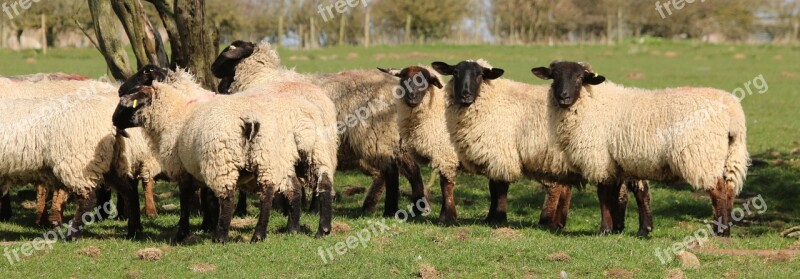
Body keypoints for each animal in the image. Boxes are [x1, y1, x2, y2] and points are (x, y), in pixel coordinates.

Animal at [114, 66, 336, 243]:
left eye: (143, 74)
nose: (114, 120)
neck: (178, 113)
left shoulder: (189, 168)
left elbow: (190, 201)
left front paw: (191, 230)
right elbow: (208, 197)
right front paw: (208, 224)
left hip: (234, 160)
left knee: (234, 196)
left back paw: (223, 236)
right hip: (296, 154)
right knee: (306, 186)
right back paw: (304, 229)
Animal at [209, 41, 428, 217]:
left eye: (227, 53)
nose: (212, 68)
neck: (259, 77)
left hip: (376, 135)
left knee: (390, 171)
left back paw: (388, 209)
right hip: (393, 137)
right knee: (410, 169)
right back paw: (414, 206)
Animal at [434, 60, 652, 235]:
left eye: (480, 74)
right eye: (455, 73)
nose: (465, 95)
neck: (493, 102)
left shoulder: (503, 153)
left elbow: (499, 188)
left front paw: (498, 219)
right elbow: (493, 187)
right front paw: (490, 218)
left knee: (639, 190)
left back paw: (643, 228)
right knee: (620, 191)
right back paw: (619, 226)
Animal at [532, 61, 752, 236]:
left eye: (580, 77)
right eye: (554, 76)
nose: (564, 97)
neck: (591, 103)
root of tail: (733, 114)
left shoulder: (600, 159)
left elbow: (604, 194)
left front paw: (604, 229)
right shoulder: (617, 162)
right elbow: (620, 194)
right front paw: (622, 228)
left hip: (702, 154)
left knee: (718, 190)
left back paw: (720, 231)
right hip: (731, 154)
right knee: (729, 189)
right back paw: (726, 228)